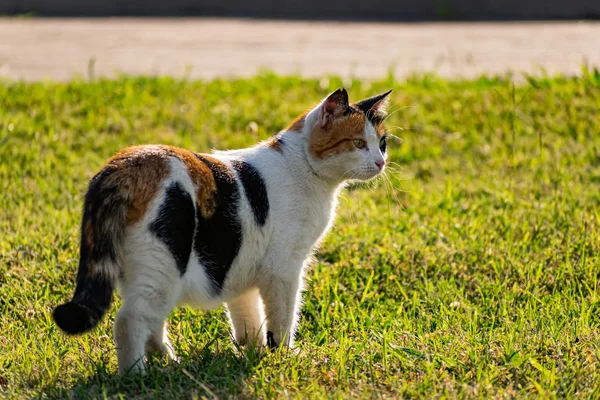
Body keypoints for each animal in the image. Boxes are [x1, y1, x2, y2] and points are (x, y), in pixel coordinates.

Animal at [54, 87, 392, 376]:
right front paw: (283, 355)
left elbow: (248, 317)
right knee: (130, 320)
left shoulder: (242, 266)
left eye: (382, 143)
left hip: (149, 273)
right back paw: (136, 376)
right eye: (358, 143)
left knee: (152, 320)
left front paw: (253, 352)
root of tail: (123, 165)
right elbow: (283, 317)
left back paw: (168, 361)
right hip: (162, 265)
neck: (303, 167)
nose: (380, 162)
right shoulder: (283, 268)